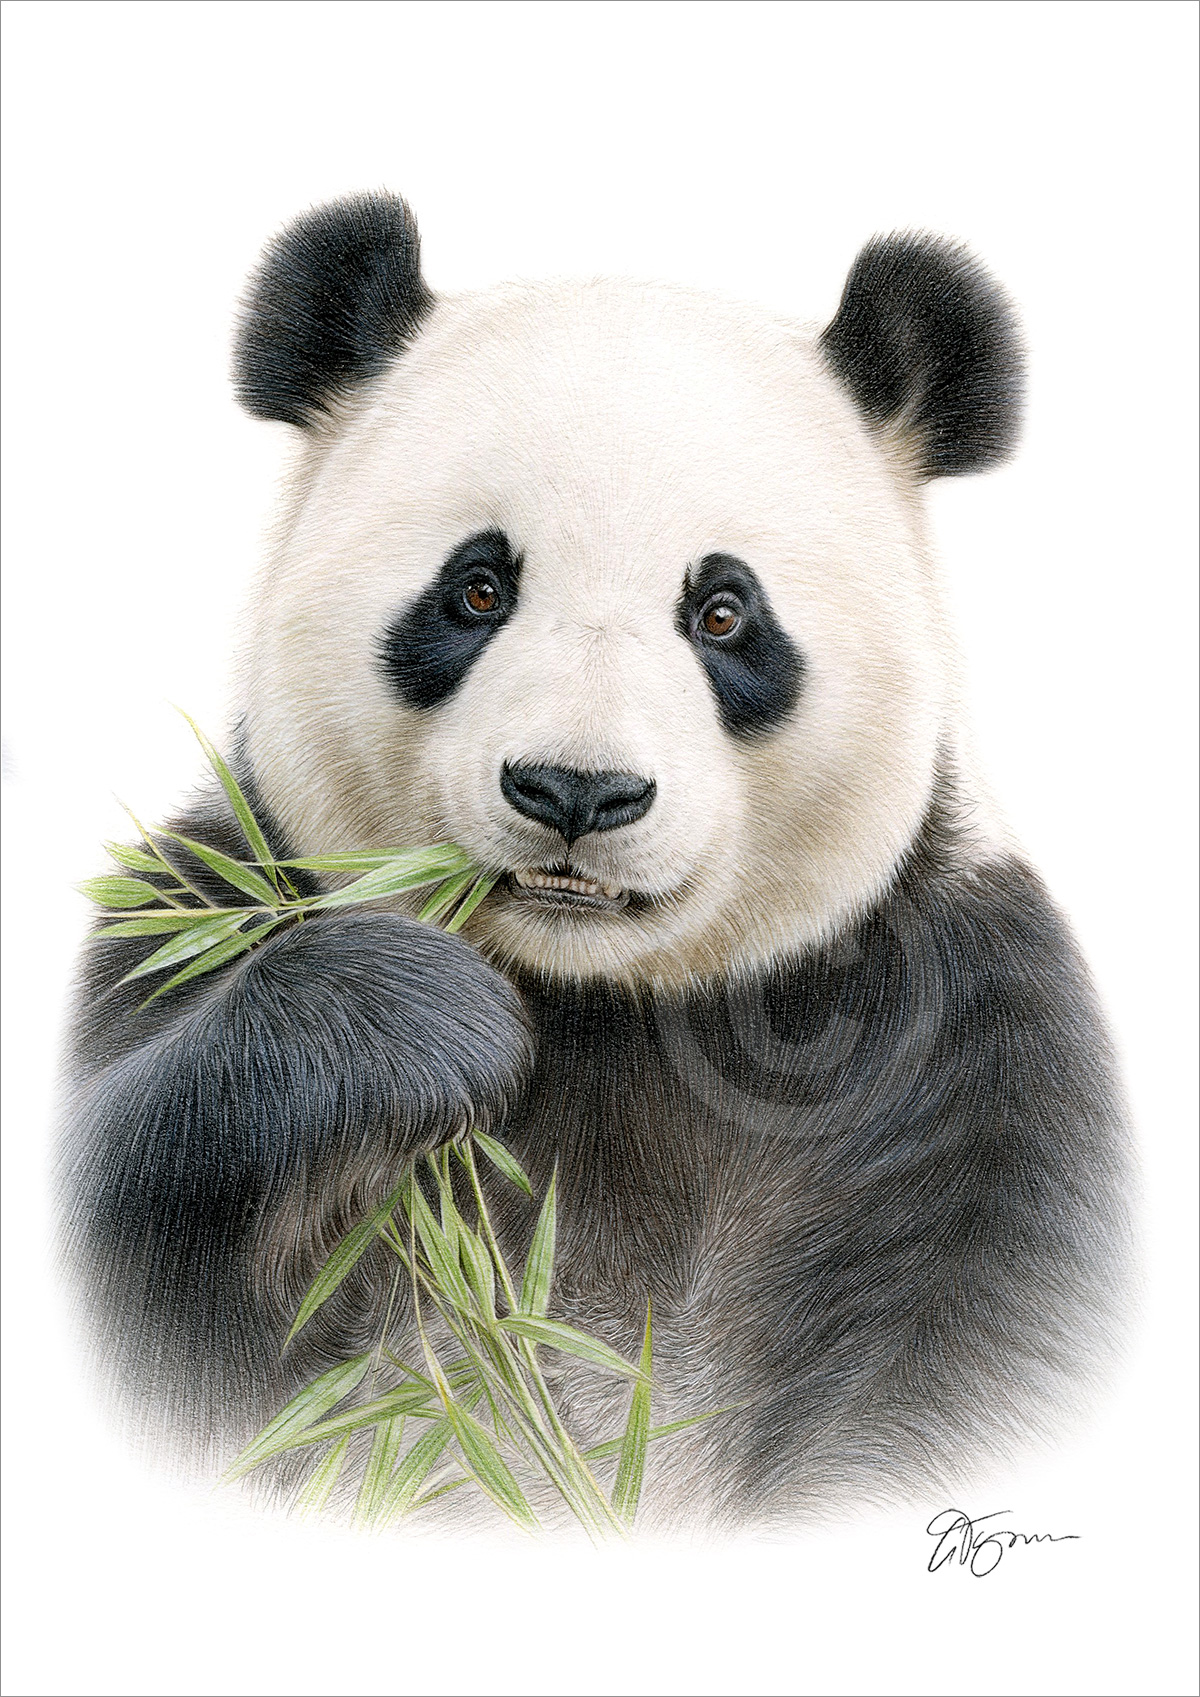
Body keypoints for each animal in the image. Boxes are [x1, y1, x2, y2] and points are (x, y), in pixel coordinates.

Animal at [59, 191, 1133, 1530]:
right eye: (477, 589)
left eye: (723, 613)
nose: (576, 790)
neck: (603, 1005)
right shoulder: (206, 901)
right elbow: (131, 1216)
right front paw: (409, 1019)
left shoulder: (955, 1032)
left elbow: (976, 1354)